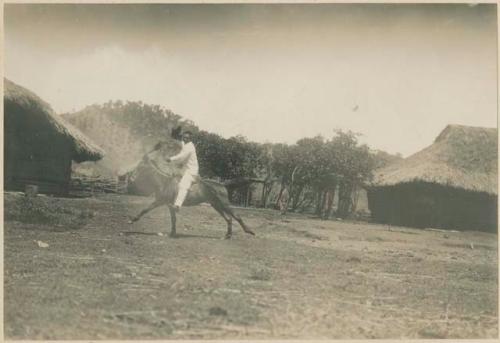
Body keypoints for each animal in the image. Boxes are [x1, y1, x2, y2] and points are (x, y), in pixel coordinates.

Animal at [127, 145, 256, 239]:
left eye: (141, 166)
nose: (131, 178)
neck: (164, 181)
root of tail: (222, 184)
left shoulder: (159, 201)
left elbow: (145, 210)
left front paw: (132, 219)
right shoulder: (169, 205)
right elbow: (173, 219)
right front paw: (172, 233)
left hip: (224, 204)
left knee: (237, 216)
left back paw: (249, 231)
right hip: (216, 205)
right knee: (229, 218)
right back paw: (227, 235)